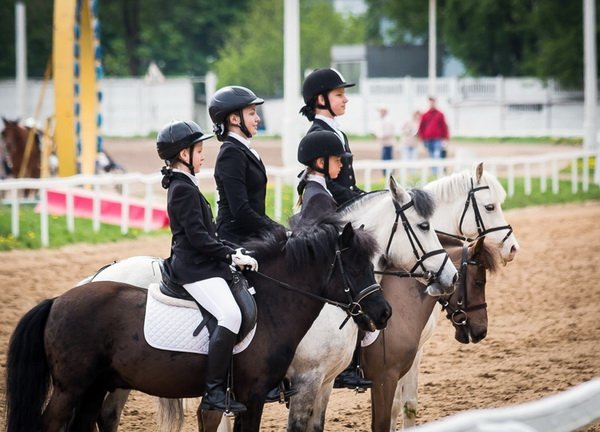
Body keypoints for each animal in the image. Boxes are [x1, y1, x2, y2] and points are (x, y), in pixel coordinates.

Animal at [4, 216, 394, 432]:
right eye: (354, 266)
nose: (384, 313)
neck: (273, 305)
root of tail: (58, 300)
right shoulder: (261, 393)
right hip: (71, 387)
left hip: (95, 386)